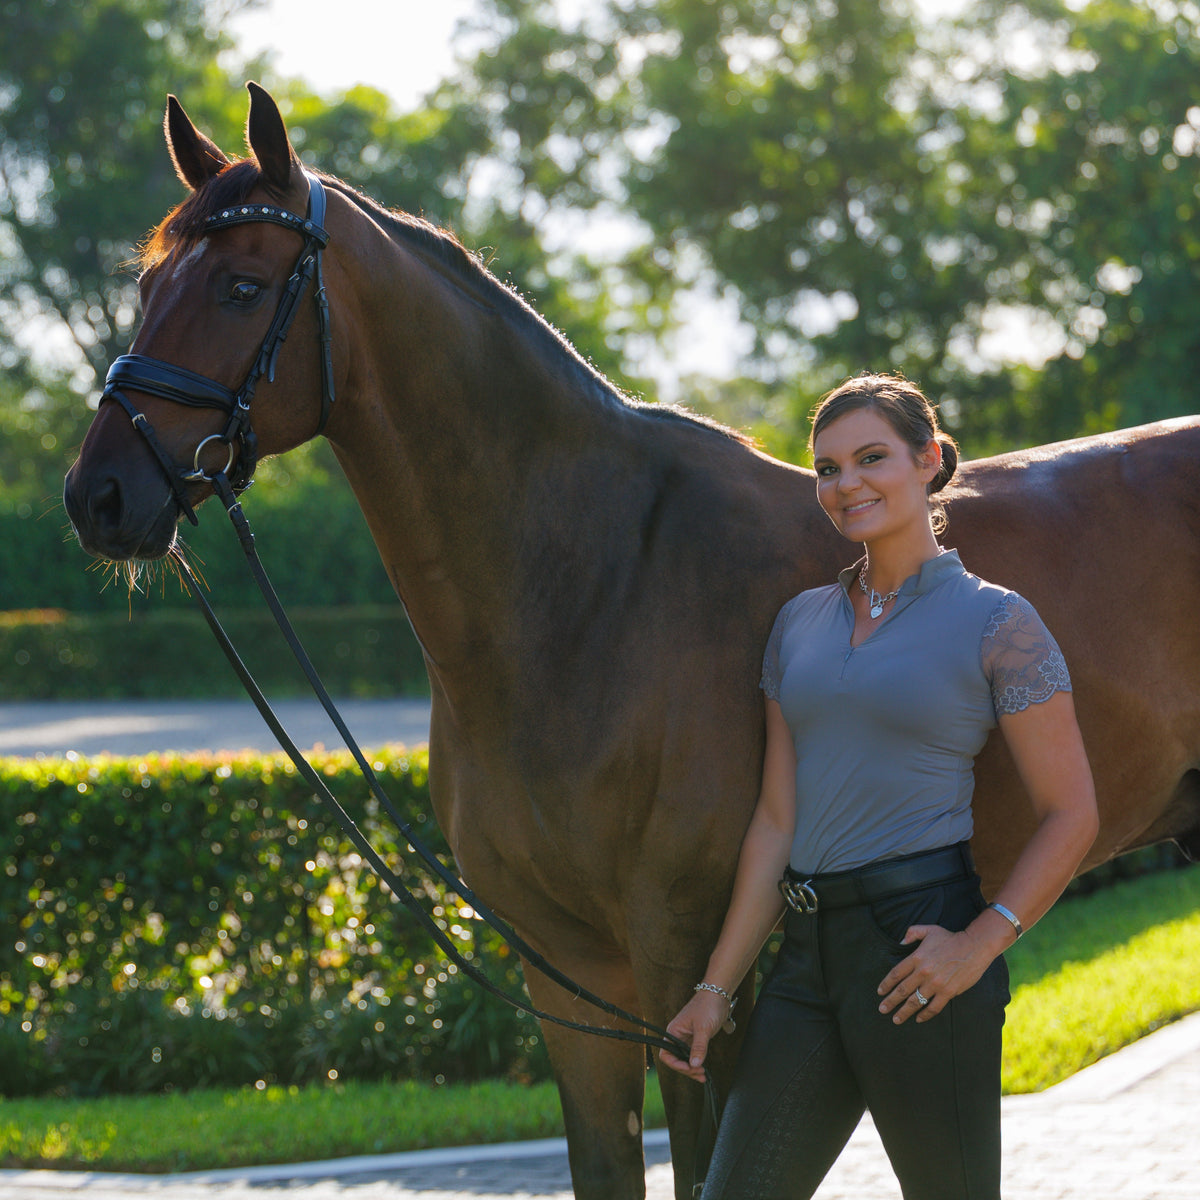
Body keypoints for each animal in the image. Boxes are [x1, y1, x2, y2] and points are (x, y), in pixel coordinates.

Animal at [63, 79, 1200, 1195]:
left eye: (242, 286)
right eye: (149, 281)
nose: (99, 495)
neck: (591, 587)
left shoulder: (687, 969)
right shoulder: (567, 975)